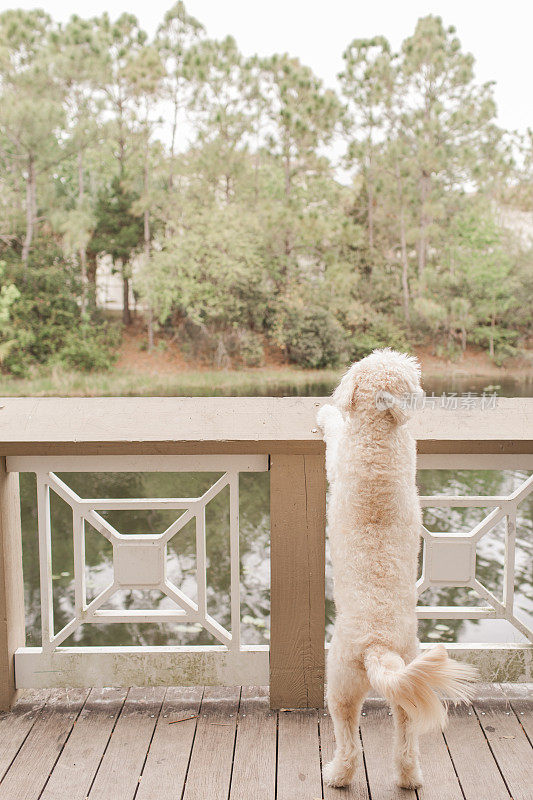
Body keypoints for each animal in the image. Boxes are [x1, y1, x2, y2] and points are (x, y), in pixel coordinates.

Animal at [316, 348, 474, 788]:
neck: (378, 436)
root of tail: (378, 647)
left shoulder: (338, 455)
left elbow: (334, 429)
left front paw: (326, 412)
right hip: (407, 687)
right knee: (405, 742)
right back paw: (409, 778)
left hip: (339, 686)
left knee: (349, 744)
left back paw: (337, 775)